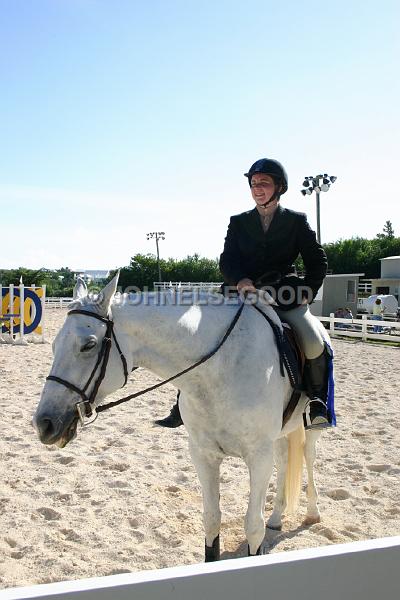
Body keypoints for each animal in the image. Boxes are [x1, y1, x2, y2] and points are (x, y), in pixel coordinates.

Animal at [32, 274, 324, 560]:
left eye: (89, 345)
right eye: (54, 345)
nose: (43, 424)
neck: (221, 368)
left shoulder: (258, 456)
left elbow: (253, 527)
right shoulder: (203, 454)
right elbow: (211, 520)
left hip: (309, 428)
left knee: (308, 457)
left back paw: (312, 513)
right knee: (284, 460)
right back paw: (277, 518)